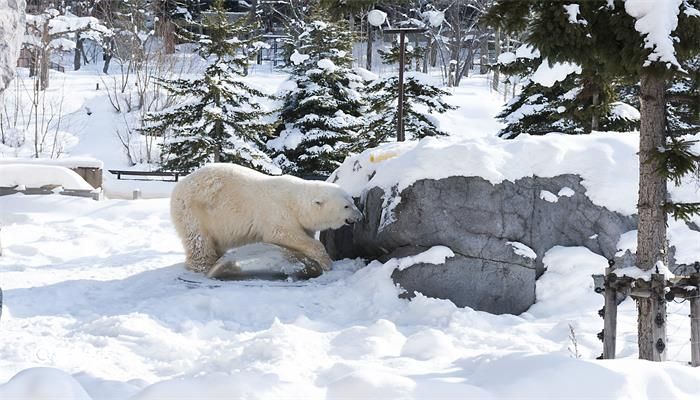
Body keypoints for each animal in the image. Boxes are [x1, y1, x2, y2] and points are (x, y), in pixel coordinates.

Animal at [172, 162, 364, 272]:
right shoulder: (277, 212)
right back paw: (202, 265)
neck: (295, 201)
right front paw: (326, 262)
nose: (360, 216)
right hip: (195, 211)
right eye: (347, 206)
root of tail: (178, 186)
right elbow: (284, 234)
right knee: (199, 240)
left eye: (352, 201)